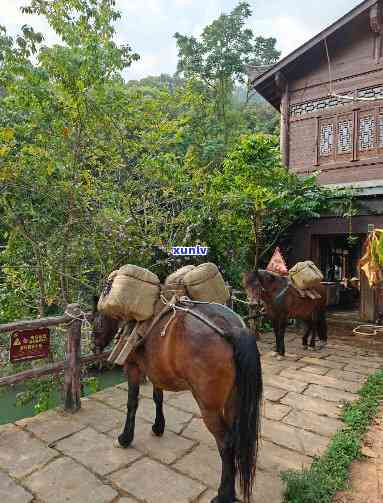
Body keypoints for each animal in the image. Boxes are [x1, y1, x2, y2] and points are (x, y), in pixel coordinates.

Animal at [91, 300, 262, 503]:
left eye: (96, 320)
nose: (93, 347)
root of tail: (233, 330)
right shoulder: (156, 372)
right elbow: (158, 398)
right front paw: (158, 426)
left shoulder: (132, 367)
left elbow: (132, 403)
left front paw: (125, 438)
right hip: (233, 401)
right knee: (236, 437)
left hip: (209, 408)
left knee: (226, 443)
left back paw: (224, 494)